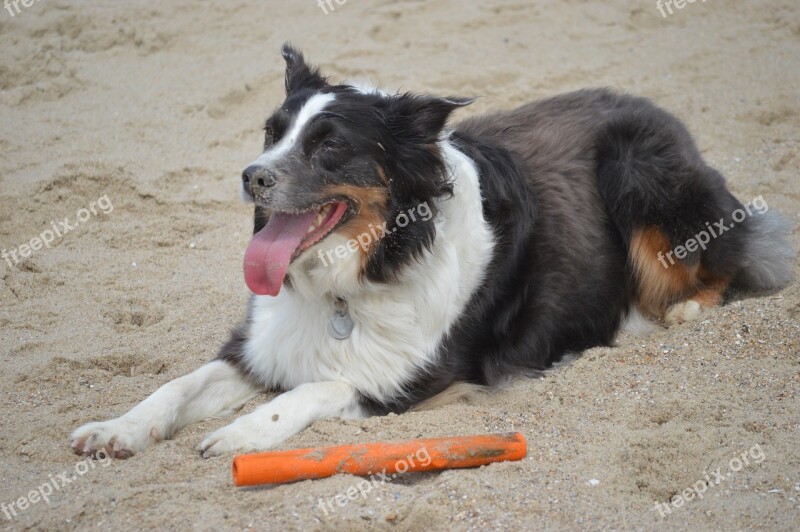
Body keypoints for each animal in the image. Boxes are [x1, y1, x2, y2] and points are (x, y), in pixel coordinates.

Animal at [70, 44, 792, 458]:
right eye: (272, 133)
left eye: (329, 146)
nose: (252, 177)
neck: (353, 277)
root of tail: (663, 112)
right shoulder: (260, 345)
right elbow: (177, 385)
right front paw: (117, 429)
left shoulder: (408, 380)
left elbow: (313, 389)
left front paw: (246, 433)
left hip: (636, 169)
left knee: (726, 263)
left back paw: (671, 314)